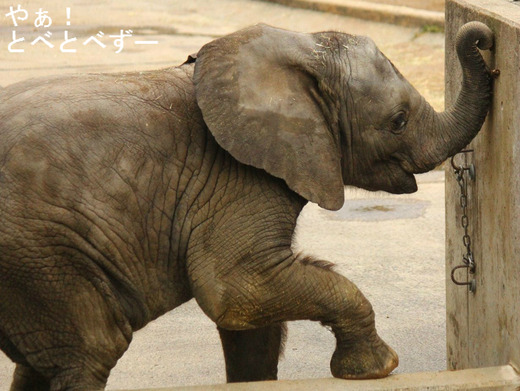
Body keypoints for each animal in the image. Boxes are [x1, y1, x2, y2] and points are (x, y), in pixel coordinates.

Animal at [0, 22, 492, 391]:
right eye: (398, 122)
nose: (481, 36)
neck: (298, 53)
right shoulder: (236, 178)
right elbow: (234, 287)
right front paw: (377, 368)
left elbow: (250, 314)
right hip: (41, 251)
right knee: (93, 347)